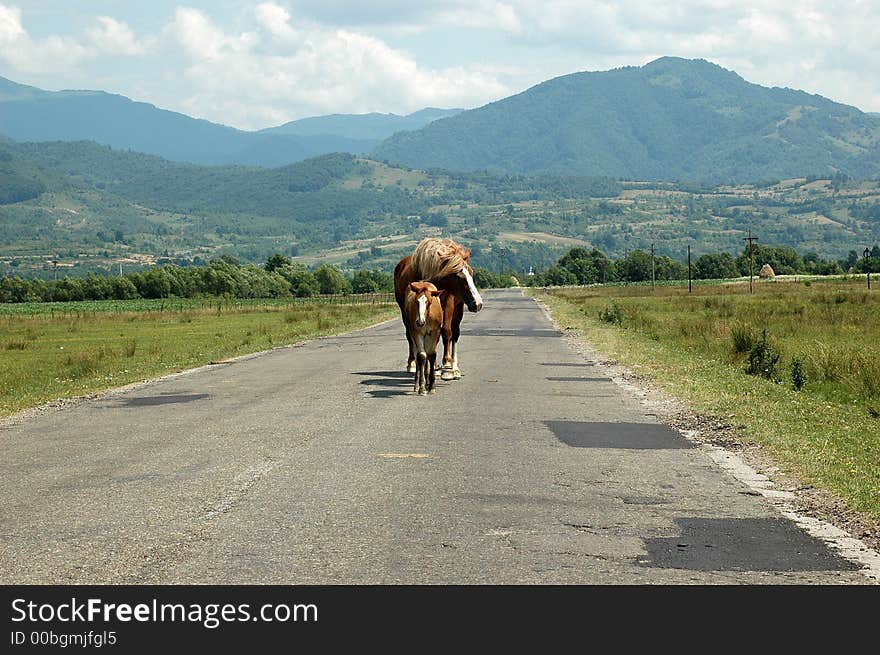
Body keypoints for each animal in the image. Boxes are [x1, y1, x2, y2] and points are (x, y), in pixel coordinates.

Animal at [396, 238, 484, 382]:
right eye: (458, 276)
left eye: (471, 274)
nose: (478, 303)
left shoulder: (448, 303)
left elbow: (447, 332)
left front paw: (447, 368)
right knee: (411, 335)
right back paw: (416, 364)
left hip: (458, 310)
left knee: (454, 333)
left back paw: (454, 368)